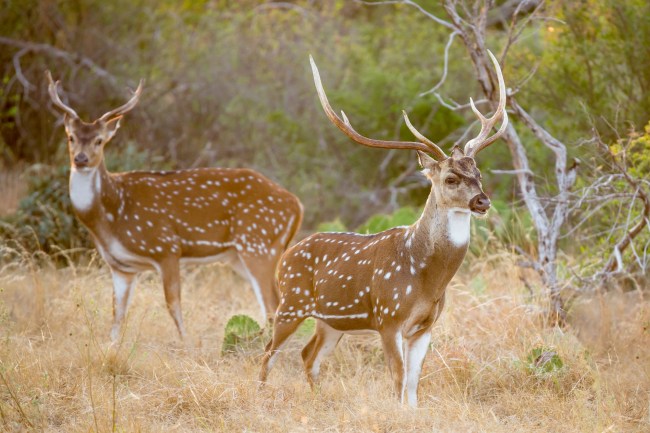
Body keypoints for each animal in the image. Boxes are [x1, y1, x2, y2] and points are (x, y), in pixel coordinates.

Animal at [46, 72, 303, 342]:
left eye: (99, 140)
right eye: (71, 137)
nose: (80, 159)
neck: (112, 216)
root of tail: (297, 205)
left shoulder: (166, 247)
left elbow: (173, 305)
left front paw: (185, 343)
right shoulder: (121, 266)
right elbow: (117, 313)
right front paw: (111, 346)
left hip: (259, 245)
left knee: (274, 305)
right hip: (239, 256)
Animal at [259, 51, 508, 407]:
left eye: (479, 175)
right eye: (450, 179)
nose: (482, 201)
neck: (427, 278)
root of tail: (285, 255)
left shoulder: (425, 326)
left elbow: (414, 383)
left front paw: (412, 412)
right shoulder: (389, 317)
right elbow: (398, 379)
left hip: (330, 322)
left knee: (308, 355)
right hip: (290, 302)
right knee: (268, 353)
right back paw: (260, 395)